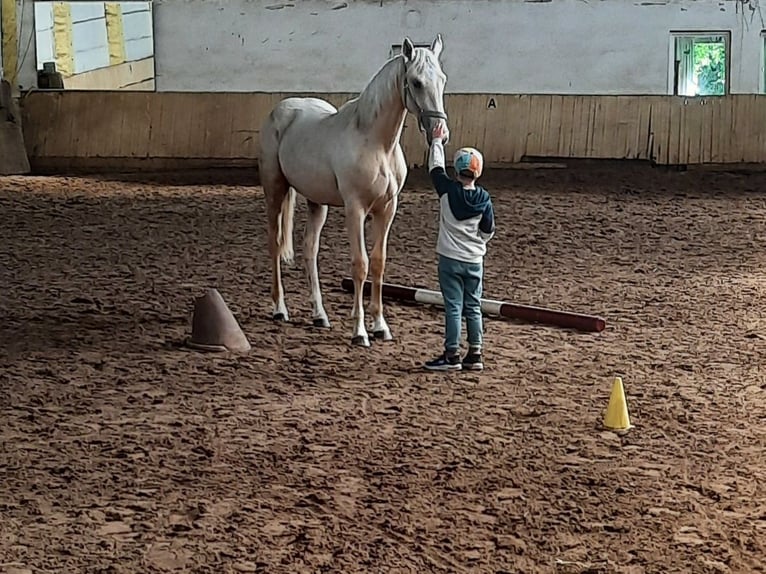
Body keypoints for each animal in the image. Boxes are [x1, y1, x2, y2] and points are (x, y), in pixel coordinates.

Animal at [259, 35, 449, 347]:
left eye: (442, 80)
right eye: (417, 81)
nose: (440, 132)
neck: (376, 143)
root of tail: (282, 109)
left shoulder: (387, 210)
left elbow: (378, 264)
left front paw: (380, 326)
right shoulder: (355, 209)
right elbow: (360, 265)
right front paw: (360, 331)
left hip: (317, 202)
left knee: (310, 249)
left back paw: (319, 315)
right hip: (275, 190)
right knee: (275, 244)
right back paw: (279, 309)